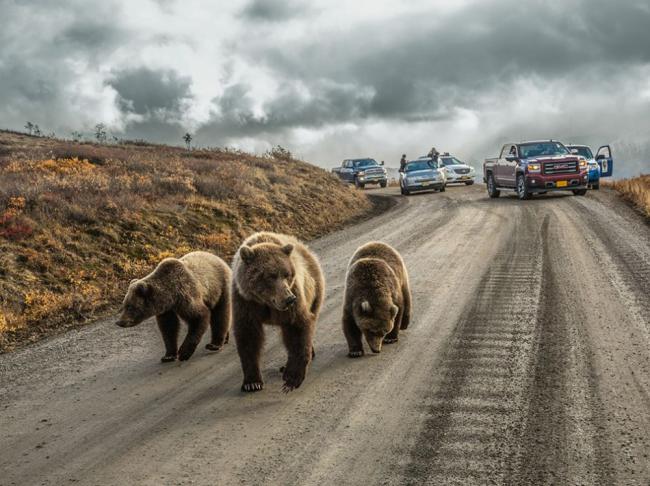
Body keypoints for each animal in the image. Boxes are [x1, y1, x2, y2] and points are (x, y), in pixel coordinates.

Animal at [232, 231, 324, 392]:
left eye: (287, 274)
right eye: (271, 275)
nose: (289, 299)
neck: (266, 302)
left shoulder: (295, 296)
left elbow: (297, 328)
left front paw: (292, 378)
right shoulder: (245, 302)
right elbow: (248, 337)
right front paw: (252, 382)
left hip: (314, 290)